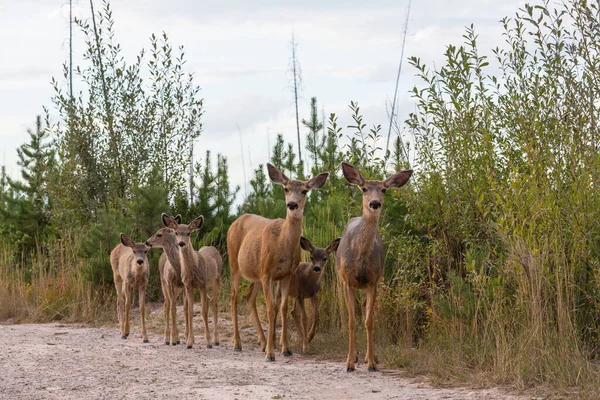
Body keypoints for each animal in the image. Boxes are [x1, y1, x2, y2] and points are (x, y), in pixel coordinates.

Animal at [144, 214, 189, 346]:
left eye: (159, 234)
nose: (147, 242)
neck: (178, 268)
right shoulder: (169, 283)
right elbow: (173, 308)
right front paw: (173, 339)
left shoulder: (184, 285)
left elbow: (186, 308)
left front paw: (186, 337)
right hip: (163, 283)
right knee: (167, 305)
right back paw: (167, 338)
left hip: (176, 288)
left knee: (170, 304)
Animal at [162, 214, 223, 348]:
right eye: (176, 232)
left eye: (189, 233)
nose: (181, 243)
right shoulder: (188, 285)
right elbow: (189, 311)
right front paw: (189, 342)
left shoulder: (202, 284)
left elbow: (204, 311)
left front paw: (208, 342)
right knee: (210, 302)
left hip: (216, 280)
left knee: (214, 305)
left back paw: (216, 340)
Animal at [226, 164, 328, 360]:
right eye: (286, 188)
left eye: (304, 190)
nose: (292, 204)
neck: (282, 244)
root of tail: (235, 221)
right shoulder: (267, 273)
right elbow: (271, 308)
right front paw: (271, 353)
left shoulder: (286, 274)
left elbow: (283, 307)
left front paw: (285, 349)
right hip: (234, 263)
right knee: (234, 297)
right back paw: (237, 344)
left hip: (256, 274)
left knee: (248, 297)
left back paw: (262, 342)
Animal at [338, 160, 412, 372]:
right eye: (364, 189)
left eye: (384, 189)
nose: (374, 203)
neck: (360, 259)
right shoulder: (347, 281)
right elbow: (352, 321)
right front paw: (349, 363)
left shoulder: (373, 281)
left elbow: (369, 321)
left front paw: (371, 362)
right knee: (354, 312)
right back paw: (355, 356)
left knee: (364, 311)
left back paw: (369, 357)